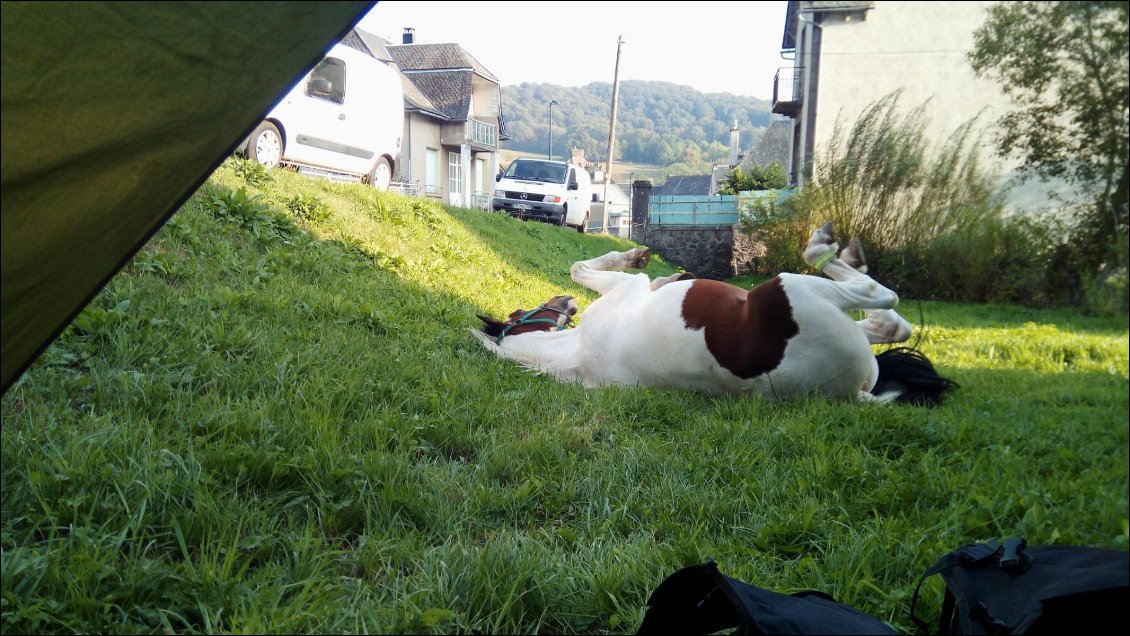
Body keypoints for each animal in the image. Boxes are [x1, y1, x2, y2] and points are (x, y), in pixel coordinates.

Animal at [472, 221, 958, 406]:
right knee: (884, 305)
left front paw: (670, 276)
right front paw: (636, 258)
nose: (565, 303)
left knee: (886, 320)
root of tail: (851, 391)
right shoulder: (625, 288)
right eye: (522, 310)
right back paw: (829, 246)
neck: (574, 355)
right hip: (797, 286)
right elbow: (582, 267)